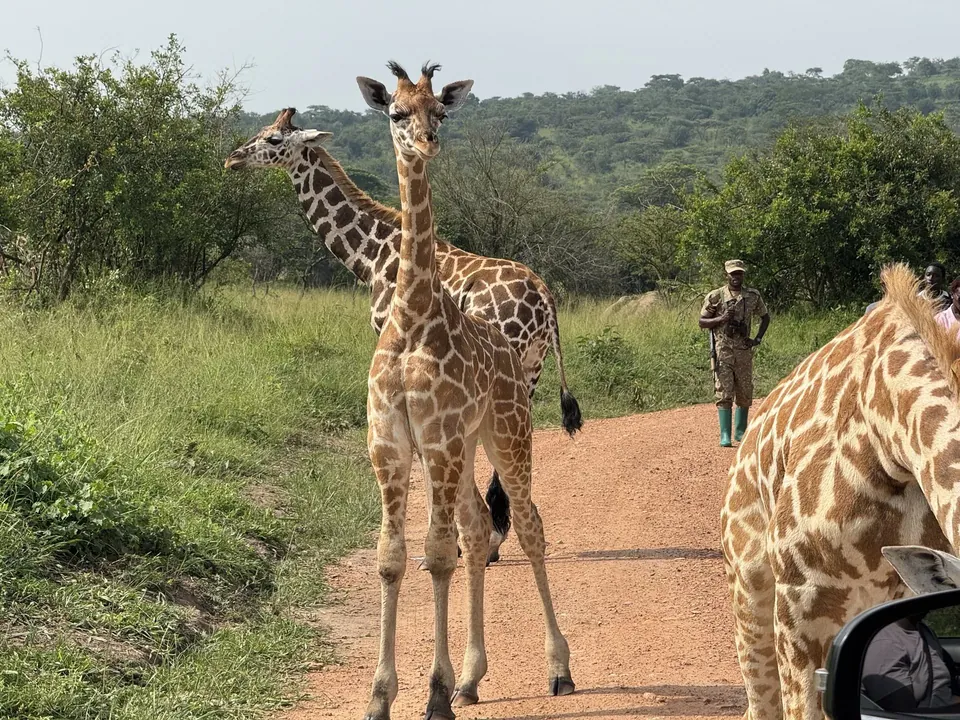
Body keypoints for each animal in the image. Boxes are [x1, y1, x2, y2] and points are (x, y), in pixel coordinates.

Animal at [224, 108, 582, 563]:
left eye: (272, 140)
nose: (233, 159)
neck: (371, 256)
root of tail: (544, 297)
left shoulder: (392, 339)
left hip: (508, 361)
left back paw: (483, 542)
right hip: (529, 367)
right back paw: (492, 540)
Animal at [354, 61, 574, 720]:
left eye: (441, 112)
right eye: (395, 112)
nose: (426, 143)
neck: (411, 317)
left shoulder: (440, 440)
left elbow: (436, 553)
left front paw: (433, 692)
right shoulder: (391, 444)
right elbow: (393, 557)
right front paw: (381, 696)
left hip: (506, 431)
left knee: (526, 523)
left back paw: (559, 669)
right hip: (472, 441)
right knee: (480, 530)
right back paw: (475, 678)